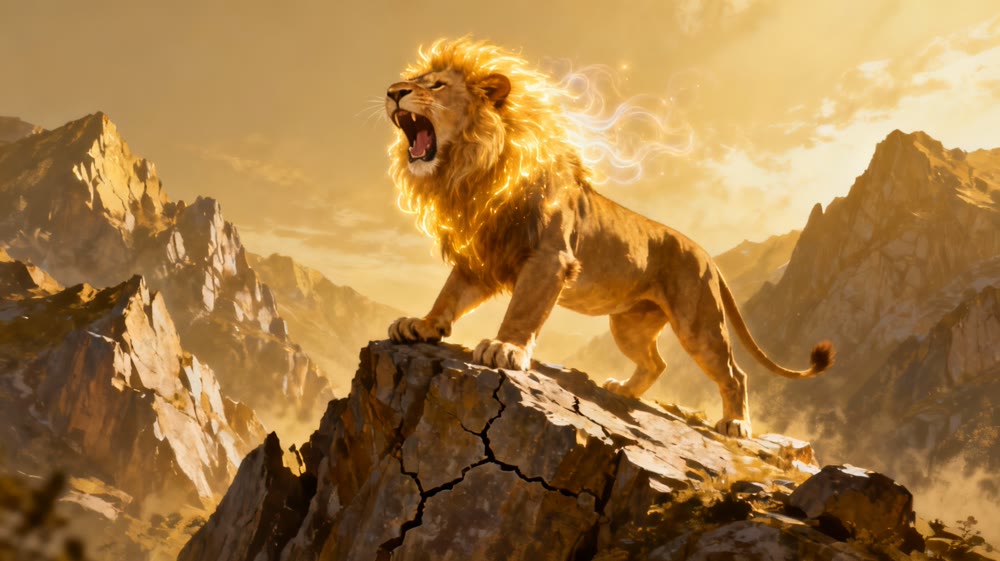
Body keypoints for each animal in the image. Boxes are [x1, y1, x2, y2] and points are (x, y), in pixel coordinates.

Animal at [383, 38, 833, 438]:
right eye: (414, 80)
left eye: (437, 85)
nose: (392, 92)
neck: (471, 170)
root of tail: (708, 255)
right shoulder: (482, 255)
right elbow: (449, 294)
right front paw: (422, 325)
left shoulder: (549, 257)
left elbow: (523, 311)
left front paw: (505, 348)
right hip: (629, 324)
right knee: (657, 364)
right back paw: (622, 389)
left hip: (699, 323)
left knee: (734, 373)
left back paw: (736, 425)